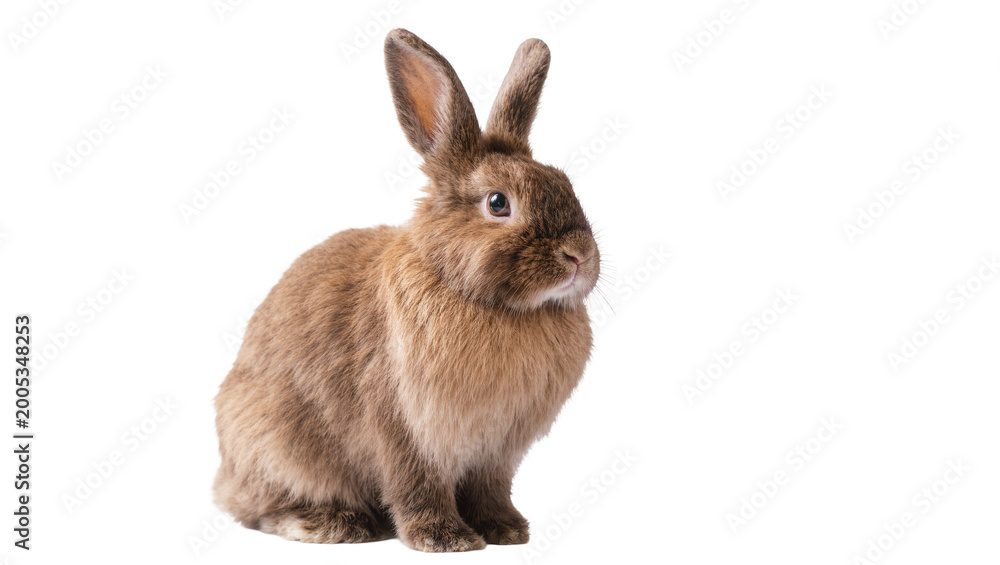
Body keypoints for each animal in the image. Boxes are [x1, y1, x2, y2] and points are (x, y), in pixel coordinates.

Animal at [214, 28, 600, 553]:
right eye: (498, 203)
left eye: (564, 183)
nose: (578, 256)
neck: (490, 302)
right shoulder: (405, 429)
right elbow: (416, 485)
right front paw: (445, 540)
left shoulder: (497, 452)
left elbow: (491, 490)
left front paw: (505, 530)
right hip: (274, 442)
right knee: (257, 508)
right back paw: (332, 523)